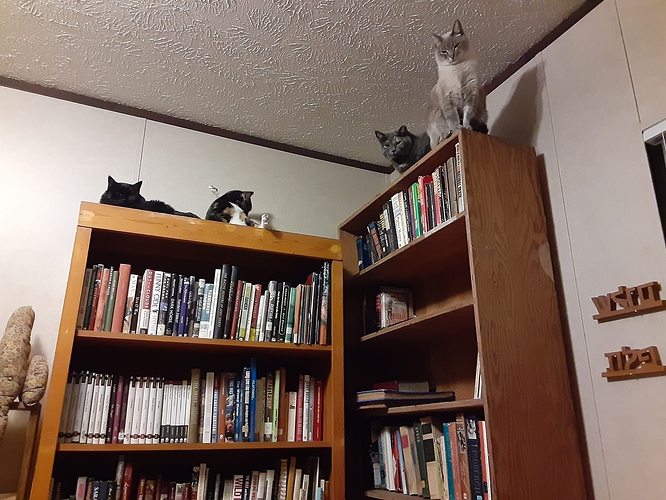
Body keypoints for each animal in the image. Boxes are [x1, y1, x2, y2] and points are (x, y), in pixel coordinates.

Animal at [426, 20, 488, 148]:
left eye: (455, 46)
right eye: (444, 51)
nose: (451, 56)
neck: (458, 67)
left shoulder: (471, 95)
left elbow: (467, 114)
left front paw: (466, 127)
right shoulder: (448, 99)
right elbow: (453, 118)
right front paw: (457, 129)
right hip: (437, 114)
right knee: (439, 136)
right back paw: (446, 135)